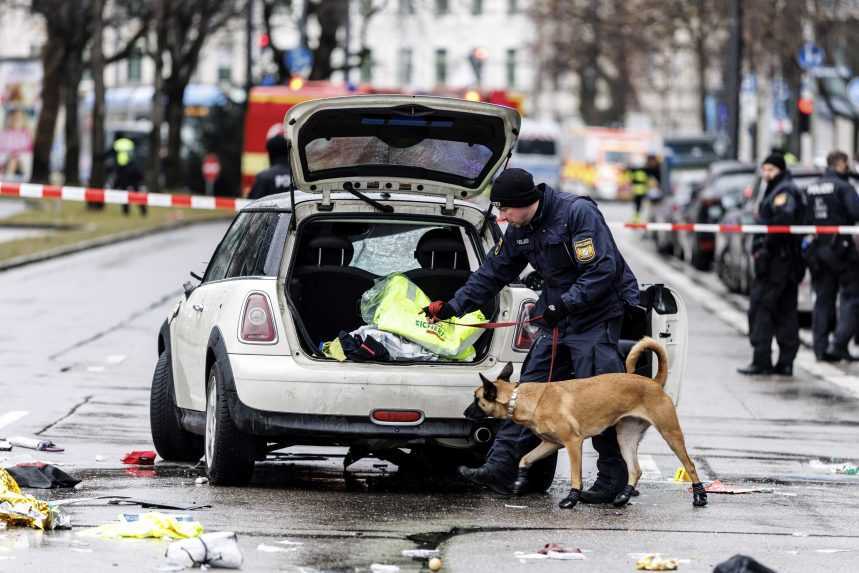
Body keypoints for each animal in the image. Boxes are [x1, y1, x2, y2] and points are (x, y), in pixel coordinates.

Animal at [474, 338, 708, 508]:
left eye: (477, 400)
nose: (467, 412)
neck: (522, 398)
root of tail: (653, 382)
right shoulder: (551, 444)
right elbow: (525, 459)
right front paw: (520, 481)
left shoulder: (573, 443)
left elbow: (575, 475)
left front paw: (572, 498)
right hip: (626, 438)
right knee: (636, 469)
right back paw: (623, 496)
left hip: (670, 434)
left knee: (690, 464)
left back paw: (700, 496)